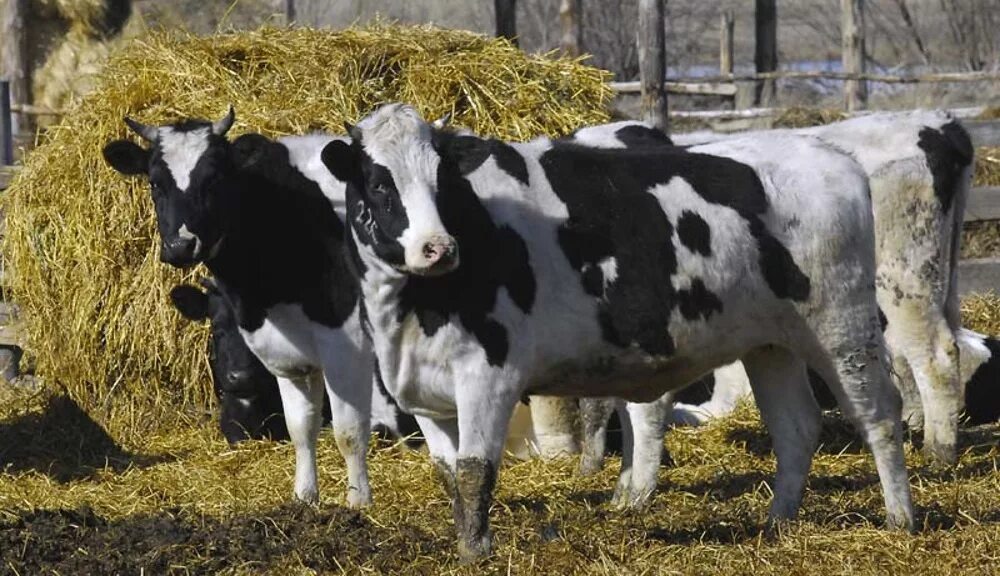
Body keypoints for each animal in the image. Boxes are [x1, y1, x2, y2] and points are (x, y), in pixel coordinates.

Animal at [102, 112, 376, 508]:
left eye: (214, 179)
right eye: (155, 182)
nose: (181, 247)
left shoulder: (348, 342)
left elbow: (348, 431)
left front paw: (359, 503)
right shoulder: (286, 351)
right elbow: (301, 427)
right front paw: (304, 497)